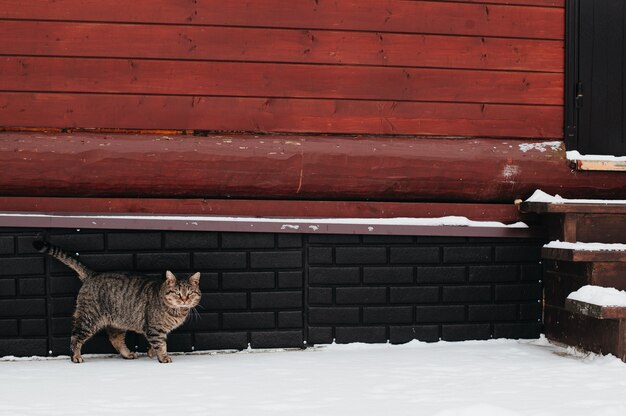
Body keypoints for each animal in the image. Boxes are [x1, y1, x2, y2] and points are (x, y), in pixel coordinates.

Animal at [33, 239, 201, 362]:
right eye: (177, 293)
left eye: (190, 293)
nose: (184, 299)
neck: (177, 311)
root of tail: (93, 274)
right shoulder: (155, 329)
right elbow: (160, 344)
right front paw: (163, 357)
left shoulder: (156, 330)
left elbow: (155, 344)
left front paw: (150, 353)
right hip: (89, 319)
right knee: (75, 336)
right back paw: (76, 357)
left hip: (118, 323)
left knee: (115, 340)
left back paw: (127, 354)